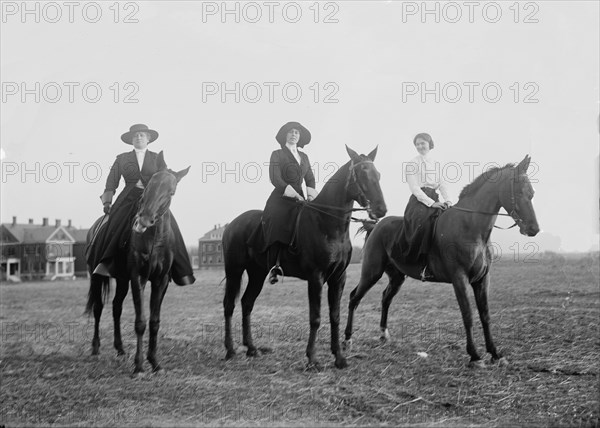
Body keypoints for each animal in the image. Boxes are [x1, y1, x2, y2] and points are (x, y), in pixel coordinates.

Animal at [85, 151, 189, 374]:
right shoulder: (137, 278)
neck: (154, 240)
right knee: (98, 307)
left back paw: (120, 348)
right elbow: (140, 321)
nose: (143, 221)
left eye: (171, 192)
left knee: (116, 307)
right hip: (97, 277)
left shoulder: (160, 280)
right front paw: (139, 365)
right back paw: (96, 348)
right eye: (149, 185)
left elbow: (154, 321)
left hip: (122, 280)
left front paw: (154, 362)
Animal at [223, 146, 386, 368]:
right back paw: (230, 350)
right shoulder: (315, 277)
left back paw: (252, 348)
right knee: (229, 305)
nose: (381, 209)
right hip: (234, 270)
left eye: (378, 174)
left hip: (257, 273)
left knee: (247, 303)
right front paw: (312, 358)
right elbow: (315, 317)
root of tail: (231, 224)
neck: (326, 223)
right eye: (362, 173)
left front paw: (339, 357)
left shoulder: (338, 278)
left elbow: (335, 316)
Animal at [342, 155, 540, 366]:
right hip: (371, 272)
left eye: (531, 193)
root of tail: (376, 226)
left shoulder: (482, 279)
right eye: (519, 191)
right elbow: (468, 314)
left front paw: (495, 353)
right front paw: (475, 356)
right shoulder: (459, 278)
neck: (470, 228)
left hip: (396, 277)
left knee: (385, 298)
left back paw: (383, 335)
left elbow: (485, 315)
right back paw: (347, 340)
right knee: (354, 298)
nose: (533, 229)